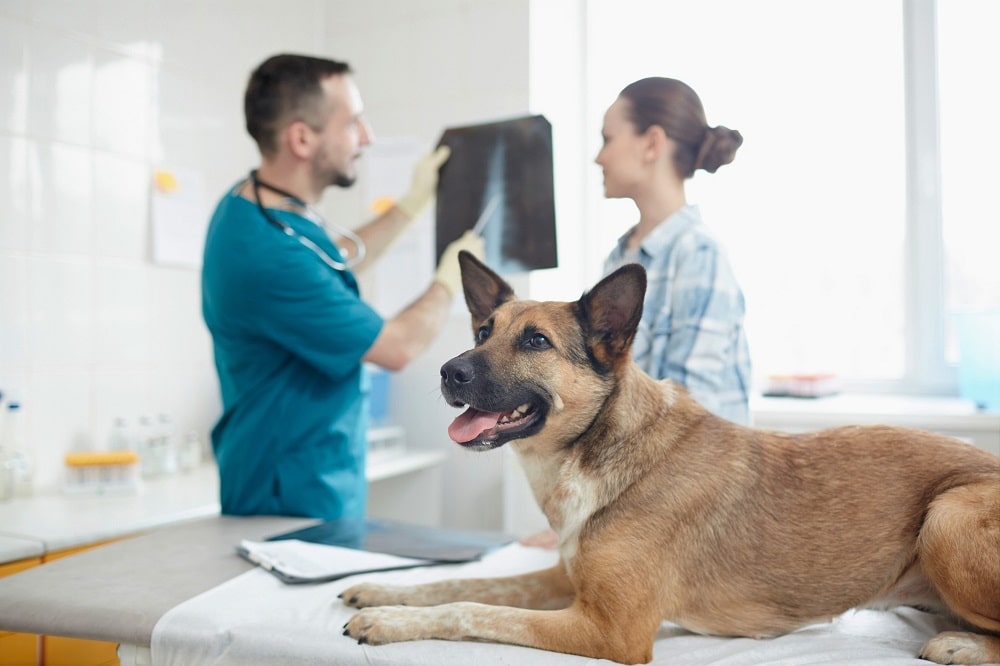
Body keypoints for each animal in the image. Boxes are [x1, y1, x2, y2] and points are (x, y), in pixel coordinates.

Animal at [340, 252, 996, 660]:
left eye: (535, 341)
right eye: (482, 332)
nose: (448, 372)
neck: (601, 447)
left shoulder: (610, 630)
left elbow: (472, 608)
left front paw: (388, 622)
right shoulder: (562, 579)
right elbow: (459, 583)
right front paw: (381, 591)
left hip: (947, 516)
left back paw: (961, 644)